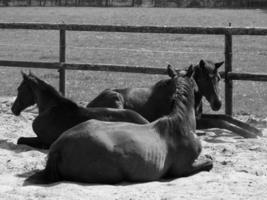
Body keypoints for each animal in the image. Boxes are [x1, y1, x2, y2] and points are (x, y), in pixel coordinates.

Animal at [87, 59, 262, 138]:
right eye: (205, 79)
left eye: (219, 78)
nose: (217, 103)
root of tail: (89, 104)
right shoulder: (198, 121)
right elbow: (221, 122)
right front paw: (250, 134)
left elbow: (224, 118)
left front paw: (254, 129)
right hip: (116, 98)